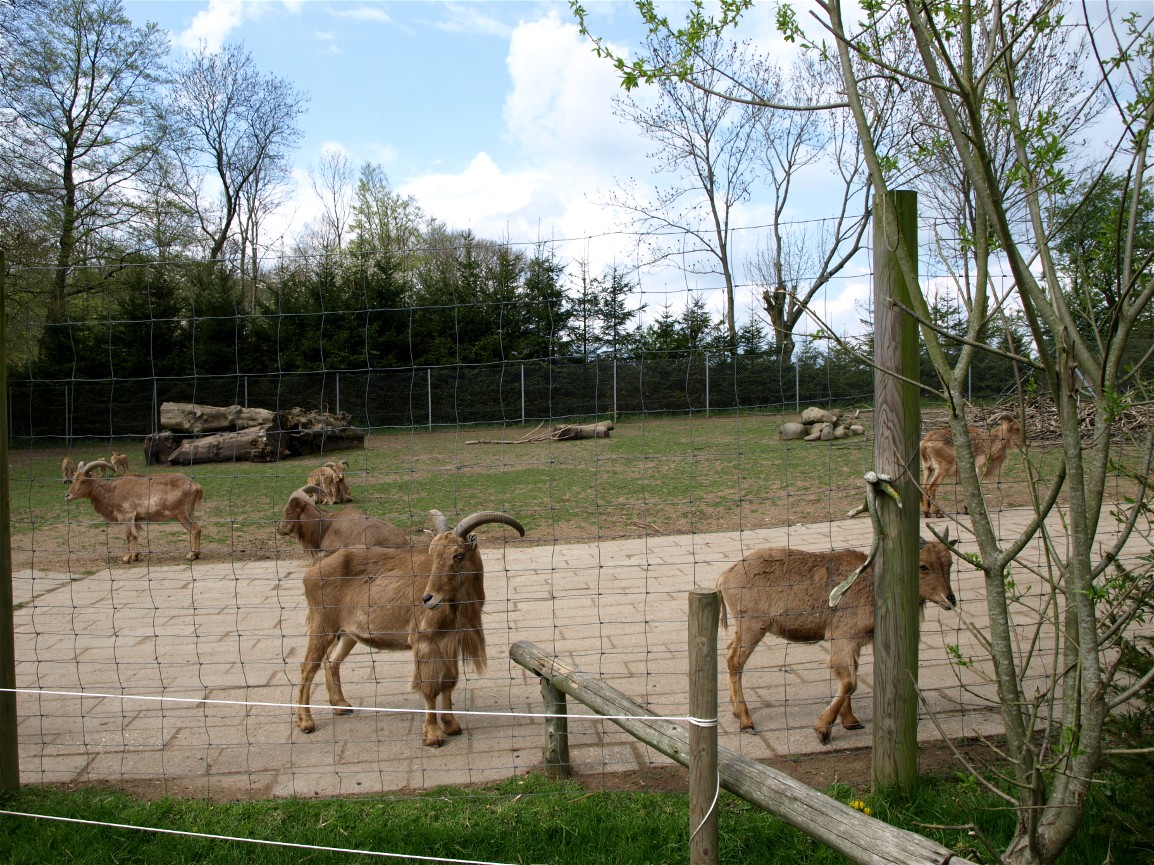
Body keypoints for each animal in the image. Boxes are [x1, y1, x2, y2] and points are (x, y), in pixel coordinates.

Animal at [64, 460, 204, 563]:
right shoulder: (135, 518)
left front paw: (127, 557)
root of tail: (195, 485)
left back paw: (191, 554)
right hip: (190, 513)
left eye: (83, 480)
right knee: (198, 529)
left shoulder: (127, 515)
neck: (112, 491)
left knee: (194, 530)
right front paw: (136, 556)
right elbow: (135, 535)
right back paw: (196, 554)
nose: (68, 495)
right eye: (73, 479)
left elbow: (129, 535)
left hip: (181, 514)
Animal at [295, 509, 526, 747]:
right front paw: (432, 735)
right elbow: (430, 686)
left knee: (331, 661)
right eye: (432, 554)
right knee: (307, 667)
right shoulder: (424, 641)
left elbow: (448, 681)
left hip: (348, 633)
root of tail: (315, 567)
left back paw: (341, 705)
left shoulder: (450, 642)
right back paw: (305, 722)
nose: (428, 598)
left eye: (458, 555)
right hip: (322, 624)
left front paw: (452, 725)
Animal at [716, 534, 957, 744]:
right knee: (735, 661)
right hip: (753, 626)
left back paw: (736, 711)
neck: (873, 586)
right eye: (923, 566)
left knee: (729, 653)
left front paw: (850, 720)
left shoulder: (855, 642)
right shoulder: (843, 635)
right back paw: (746, 720)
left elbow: (850, 676)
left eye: (950, 563)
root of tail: (725, 577)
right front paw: (823, 729)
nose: (950, 599)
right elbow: (849, 680)